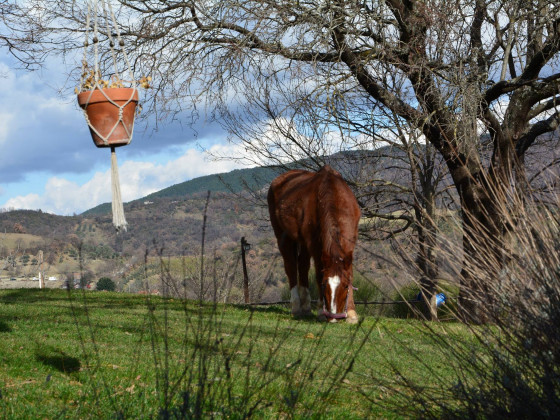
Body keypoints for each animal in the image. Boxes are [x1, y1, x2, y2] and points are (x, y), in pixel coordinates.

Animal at [268, 166, 364, 324]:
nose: (333, 317)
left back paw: (306, 307)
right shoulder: (316, 247)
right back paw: (297, 307)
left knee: (303, 266)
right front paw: (320, 310)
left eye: (345, 286)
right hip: (283, 236)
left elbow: (349, 273)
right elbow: (318, 274)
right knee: (291, 267)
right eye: (324, 285)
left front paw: (351, 313)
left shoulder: (349, 246)